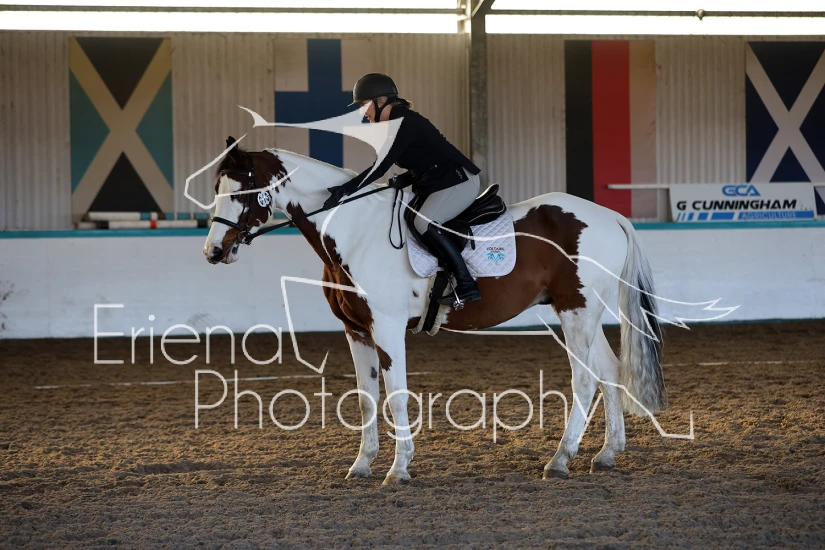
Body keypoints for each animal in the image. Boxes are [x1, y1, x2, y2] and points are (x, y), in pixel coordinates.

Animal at [202, 140, 667, 484]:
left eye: (240, 190)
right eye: (216, 189)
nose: (213, 252)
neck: (354, 232)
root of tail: (609, 216)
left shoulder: (387, 328)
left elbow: (396, 396)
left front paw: (398, 468)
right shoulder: (356, 330)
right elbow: (367, 398)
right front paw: (362, 464)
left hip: (576, 312)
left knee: (585, 380)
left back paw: (559, 459)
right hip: (585, 311)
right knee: (609, 371)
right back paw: (606, 454)